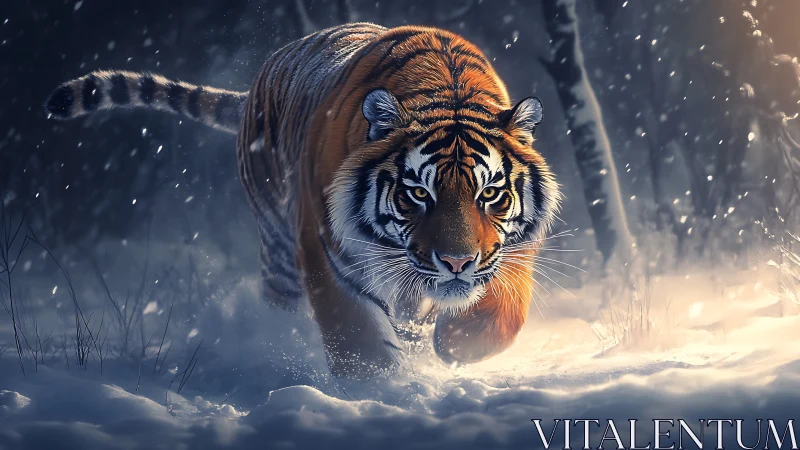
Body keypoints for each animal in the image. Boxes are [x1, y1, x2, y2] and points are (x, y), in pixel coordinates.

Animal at [46, 23, 560, 378]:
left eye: (489, 194)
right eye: (418, 193)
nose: (456, 262)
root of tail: (256, 83)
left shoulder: (510, 251)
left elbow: (501, 313)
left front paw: (455, 346)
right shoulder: (327, 250)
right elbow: (357, 337)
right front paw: (383, 390)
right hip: (278, 250)